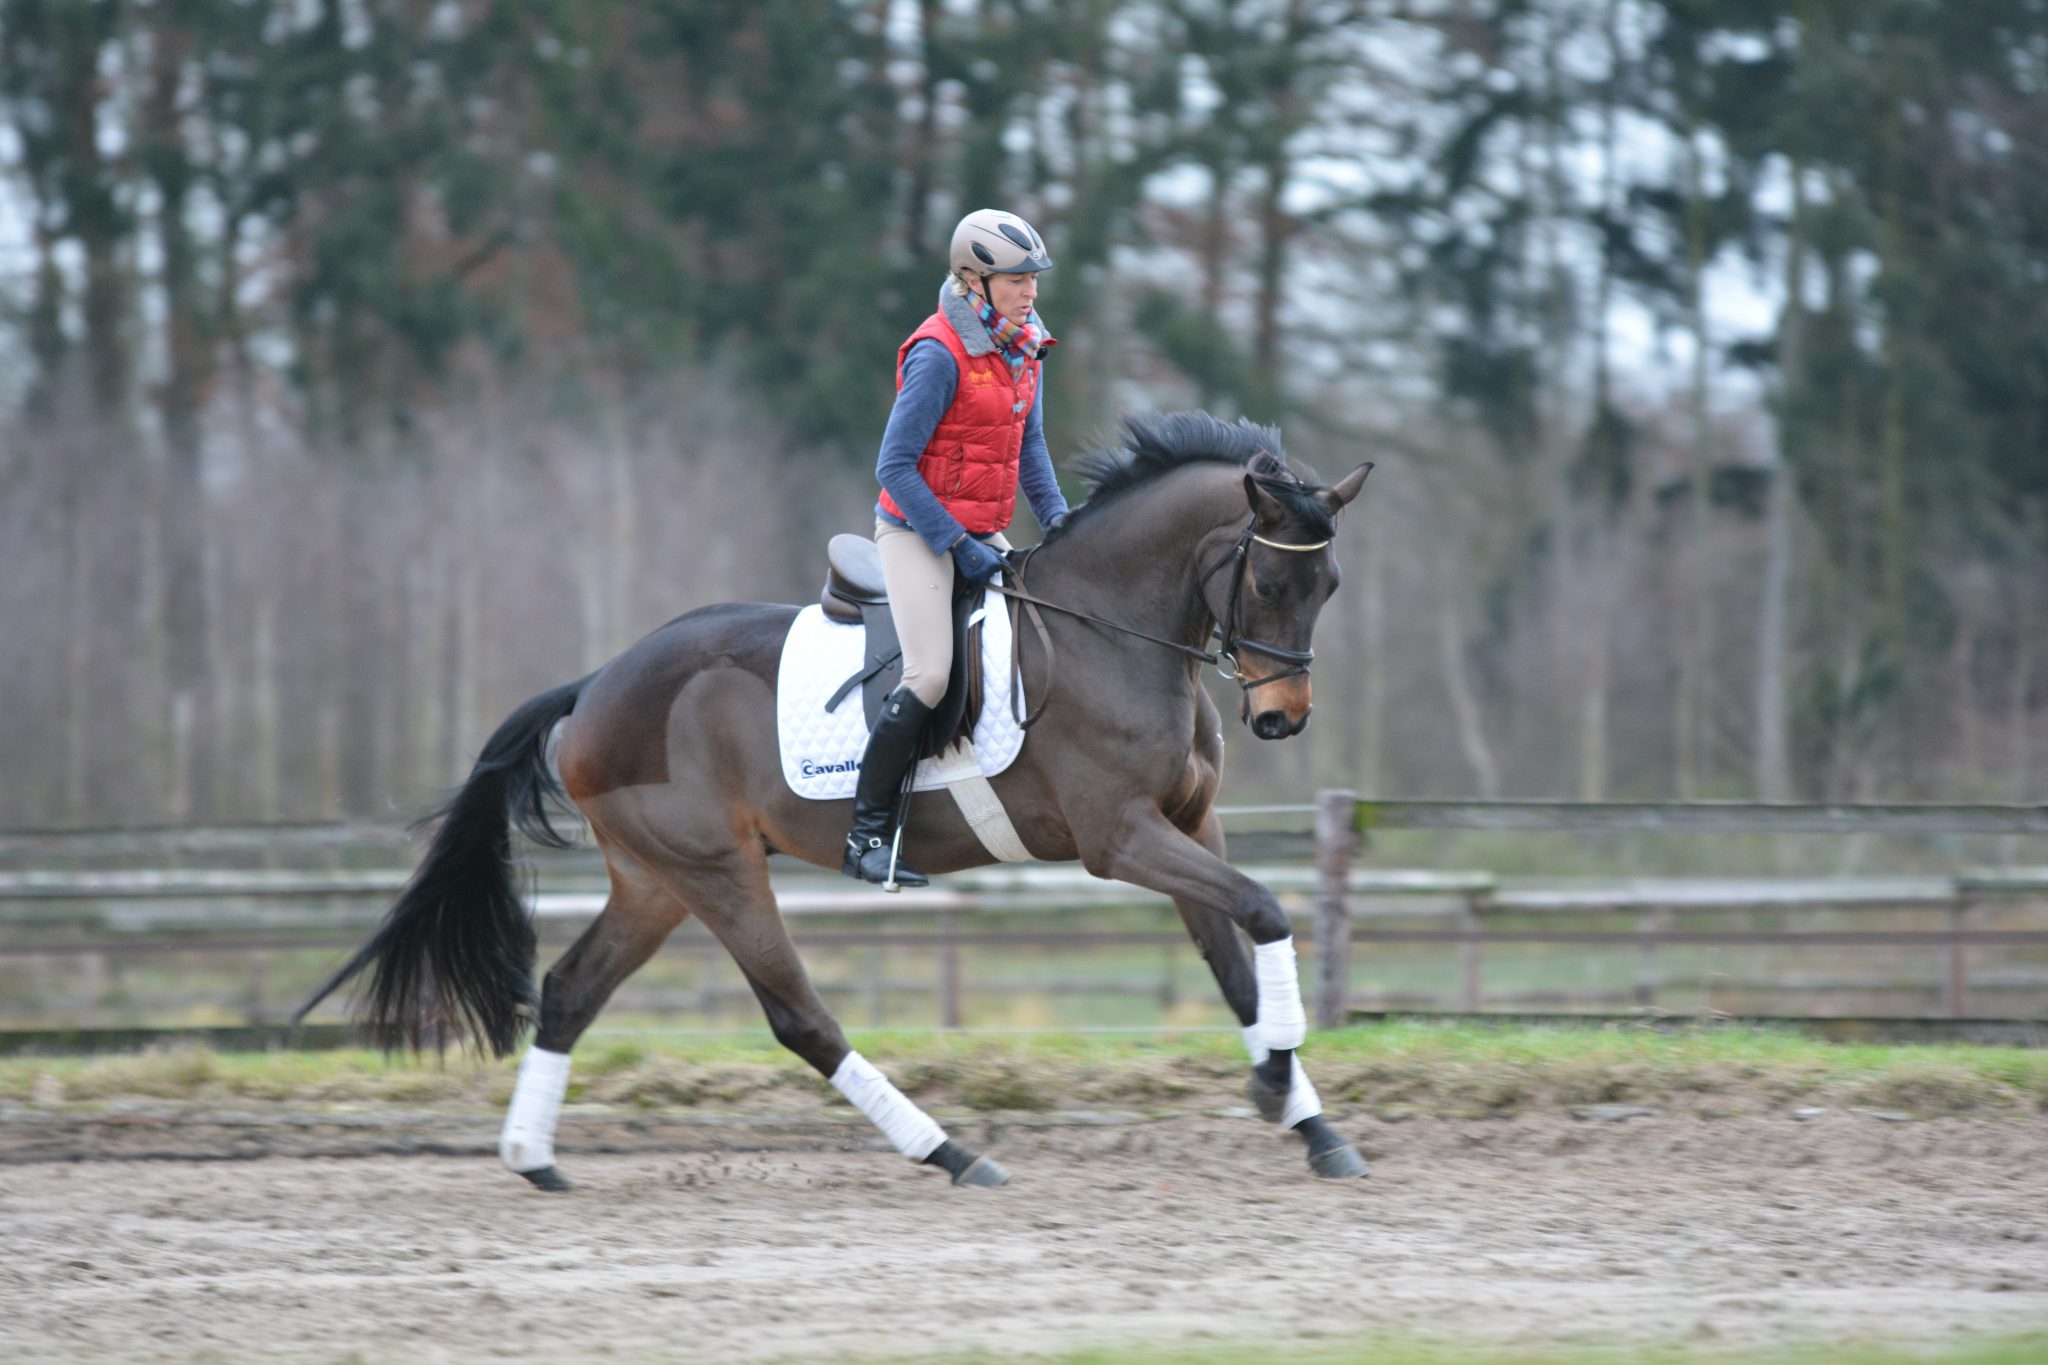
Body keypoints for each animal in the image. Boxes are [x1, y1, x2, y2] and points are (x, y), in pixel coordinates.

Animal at [292, 413, 1376, 1195]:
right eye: (1269, 579)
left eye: (1329, 585)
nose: (1281, 718)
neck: (1112, 630)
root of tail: (596, 684)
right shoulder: (1122, 837)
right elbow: (1265, 912)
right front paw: (1276, 1082)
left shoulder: (1189, 826)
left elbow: (1236, 962)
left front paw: (1311, 1122)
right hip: (719, 871)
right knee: (798, 1017)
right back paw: (948, 1152)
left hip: (654, 881)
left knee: (568, 991)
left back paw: (534, 1159)